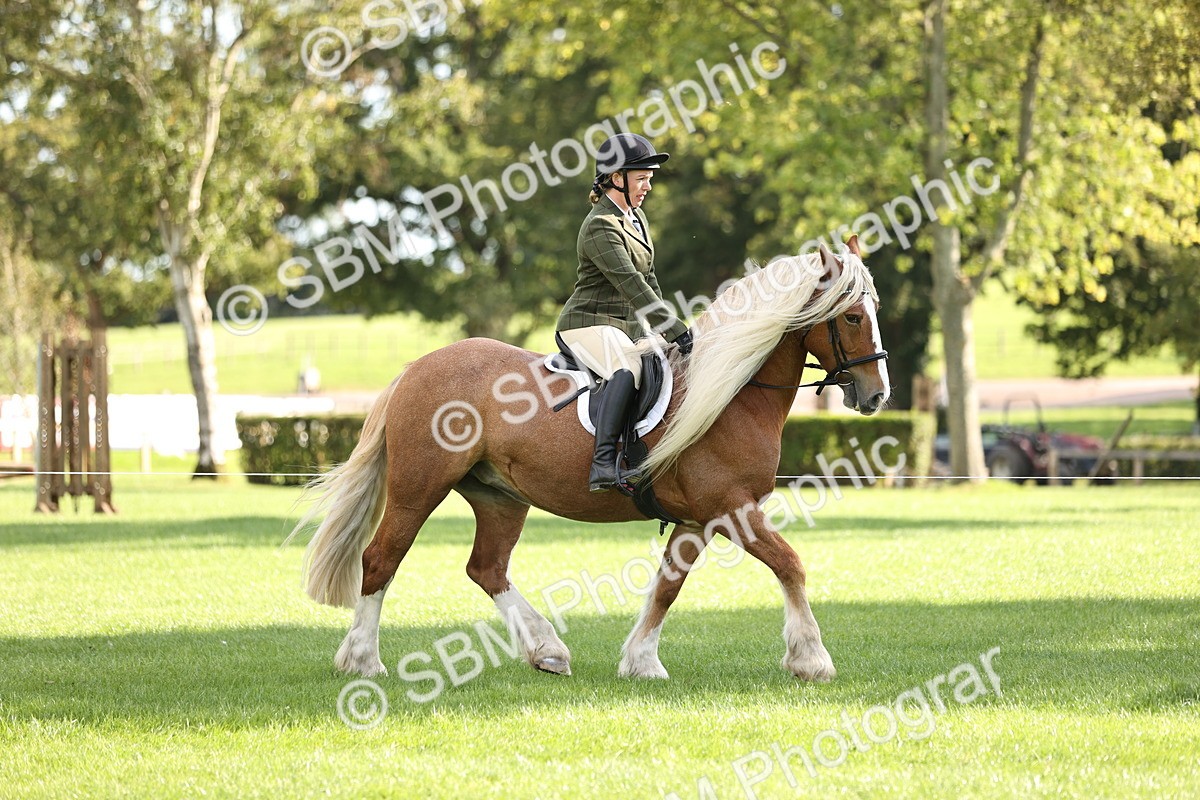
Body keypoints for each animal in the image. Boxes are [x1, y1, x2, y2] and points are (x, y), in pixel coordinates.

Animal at [289, 236, 890, 682]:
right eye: (852, 317)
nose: (877, 395)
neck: (733, 392)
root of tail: (416, 366)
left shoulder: (698, 518)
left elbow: (667, 586)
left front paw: (641, 662)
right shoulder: (731, 507)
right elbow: (790, 563)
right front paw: (811, 659)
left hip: (499, 496)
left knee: (487, 568)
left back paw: (546, 651)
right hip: (418, 489)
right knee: (380, 561)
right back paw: (364, 661)